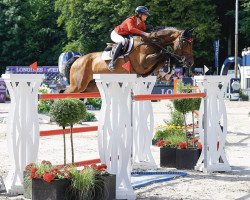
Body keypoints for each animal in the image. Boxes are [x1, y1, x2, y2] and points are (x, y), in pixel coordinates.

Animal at [62, 27, 193, 93]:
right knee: (65, 93)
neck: (151, 42)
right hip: (77, 85)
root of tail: (78, 59)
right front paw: (167, 72)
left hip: (90, 87)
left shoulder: (149, 66)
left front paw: (166, 74)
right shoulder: (143, 63)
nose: (190, 63)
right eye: (185, 42)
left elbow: (165, 57)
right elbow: (165, 54)